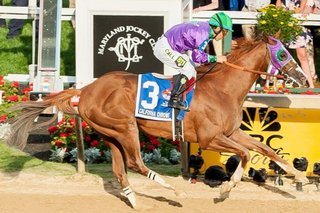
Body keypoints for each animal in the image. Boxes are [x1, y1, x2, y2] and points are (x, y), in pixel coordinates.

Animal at [6, 35, 308, 208]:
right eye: (283, 53)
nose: (304, 78)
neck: (223, 88)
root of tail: (87, 89)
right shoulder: (210, 138)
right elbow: (245, 154)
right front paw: (225, 189)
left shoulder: (231, 132)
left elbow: (264, 148)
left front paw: (299, 174)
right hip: (125, 128)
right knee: (135, 163)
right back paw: (173, 192)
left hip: (110, 133)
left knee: (119, 168)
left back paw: (134, 199)